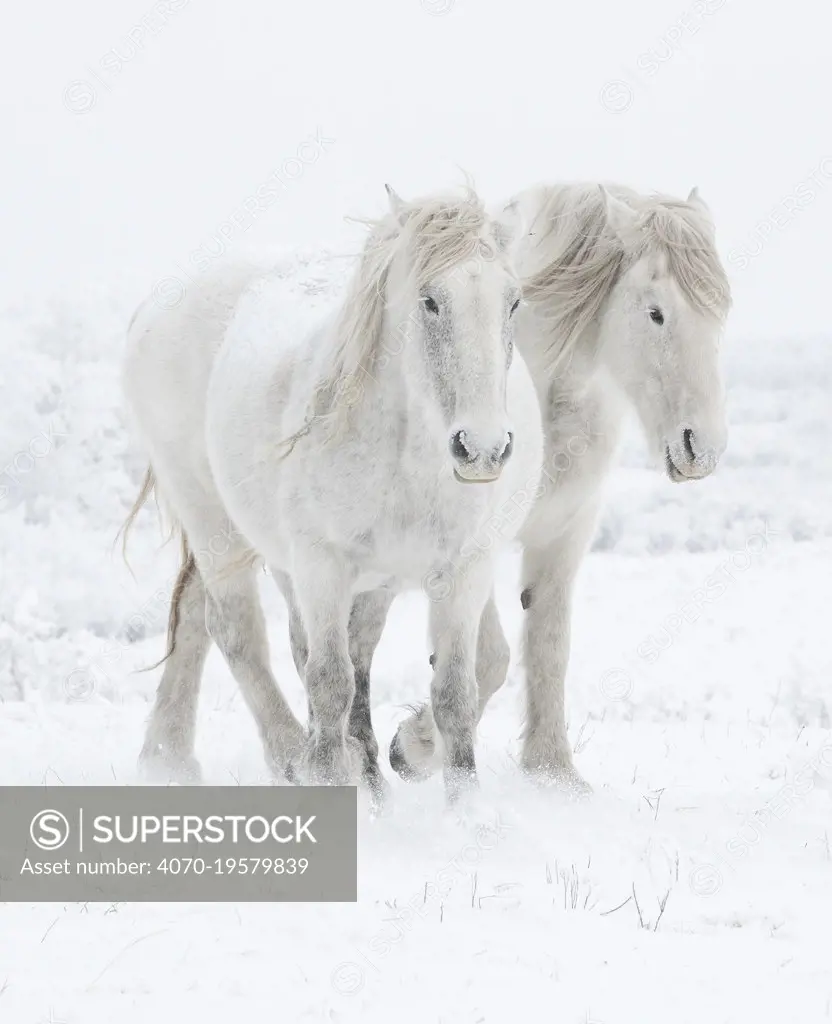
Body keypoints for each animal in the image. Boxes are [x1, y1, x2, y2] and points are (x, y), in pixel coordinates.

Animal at [120, 188, 541, 802]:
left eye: (512, 302)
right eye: (430, 301)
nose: (482, 448)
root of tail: (158, 307)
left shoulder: (464, 569)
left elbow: (456, 689)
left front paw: (458, 804)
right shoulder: (322, 565)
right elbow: (329, 682)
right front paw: (328, 775)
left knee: (214, 621)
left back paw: (171, 759)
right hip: (214, 523)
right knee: (238, 634)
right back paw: (289, 757)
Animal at [360, 182, 729, 790]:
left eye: (719, 313)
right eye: (655, 313)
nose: (703, 447)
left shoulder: (565, 534)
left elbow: (550, 642)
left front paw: (553, 772)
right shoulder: (475, 543)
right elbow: (489, 658)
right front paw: (412, 749)